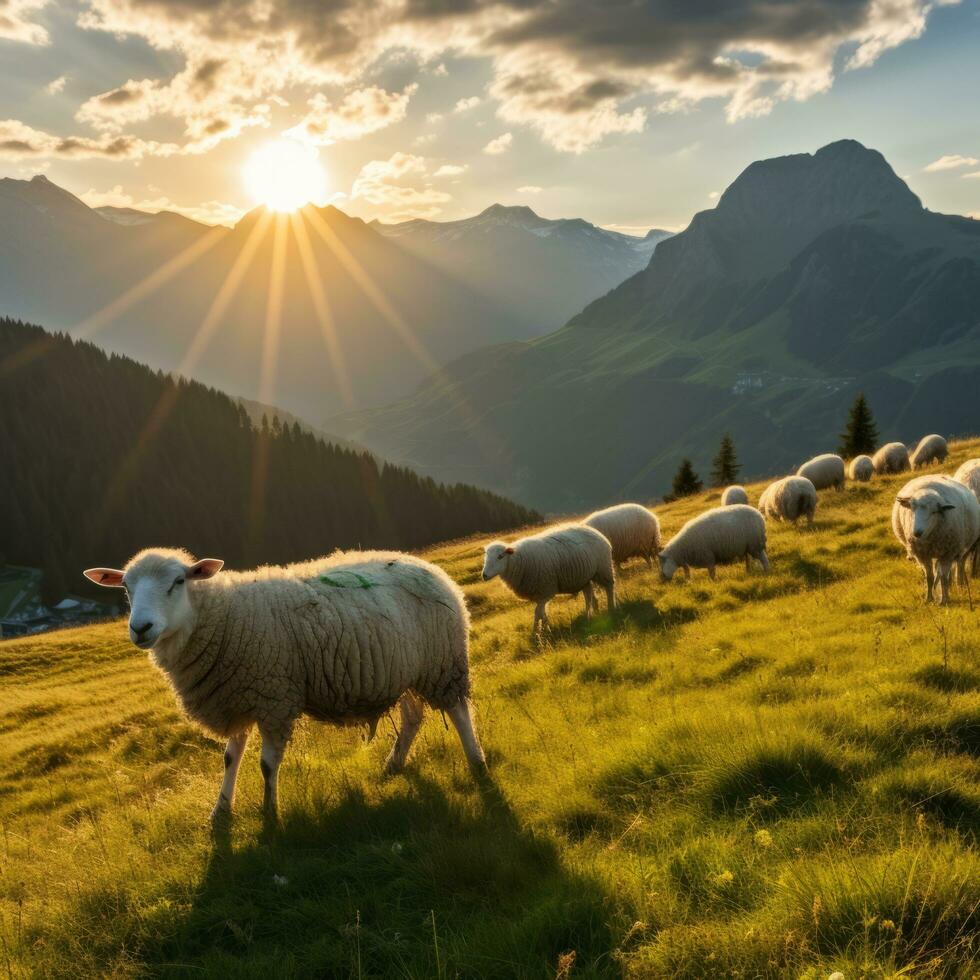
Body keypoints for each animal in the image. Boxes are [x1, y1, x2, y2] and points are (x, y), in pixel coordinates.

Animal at [84, 548, 486, 824]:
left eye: (178, 582)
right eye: (126, 587)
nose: (140, 628)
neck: (219, 617)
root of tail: (427, 566)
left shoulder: (273, 697)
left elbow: (266, 764)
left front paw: (269, 816)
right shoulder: (237, 692)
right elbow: (230, 758)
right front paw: (220, 813)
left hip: (443, 663)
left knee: (459, 713)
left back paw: (477, 763)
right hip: (403, 673)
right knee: (413, 717)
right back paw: (393, 764)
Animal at [486, 520, 616, 636]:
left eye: (500, 556)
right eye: (486, 558)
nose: (484, 575)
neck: (517, 560)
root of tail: (595, 531)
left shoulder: (546, 590)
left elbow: (538, 612)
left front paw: (536, 633)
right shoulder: (539, 594)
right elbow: (542, 612)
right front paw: (546, 628)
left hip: (603, 568)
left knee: (609, 588)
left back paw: (611, 608)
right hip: (585, 577)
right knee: (588, 595)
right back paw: (589, 615)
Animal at [888, 476, 980, 604]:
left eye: (934, 512)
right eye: (912, 509)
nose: (917, 533)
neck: (930, 538)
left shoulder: (947, 553)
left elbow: (943, 577)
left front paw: (944, 600)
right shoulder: (922, 554)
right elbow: (929, 577)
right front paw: (929, 598)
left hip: (964, 548)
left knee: (959, 565)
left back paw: (959, 585)